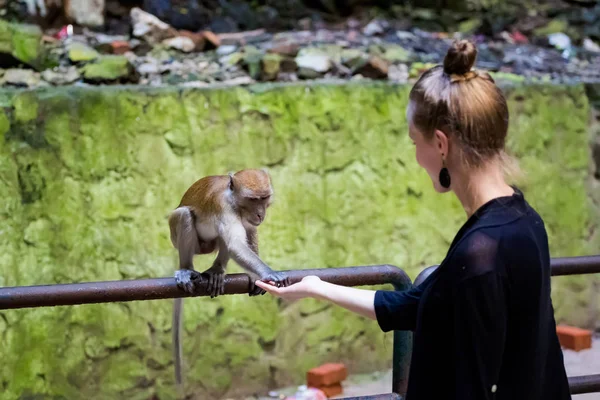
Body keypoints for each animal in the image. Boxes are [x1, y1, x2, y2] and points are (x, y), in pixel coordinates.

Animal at [169, 168, 290, 388]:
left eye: (264, 198)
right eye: (252, 199)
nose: (260, 213)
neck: (235, 201)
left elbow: (248, 232)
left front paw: (254, 275)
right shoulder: (224, 207)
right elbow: (235, 243)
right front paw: (268, 272)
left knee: (223, 237)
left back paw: (217, 270)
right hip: (183, 238)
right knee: (185, 216)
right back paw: (186, 269)